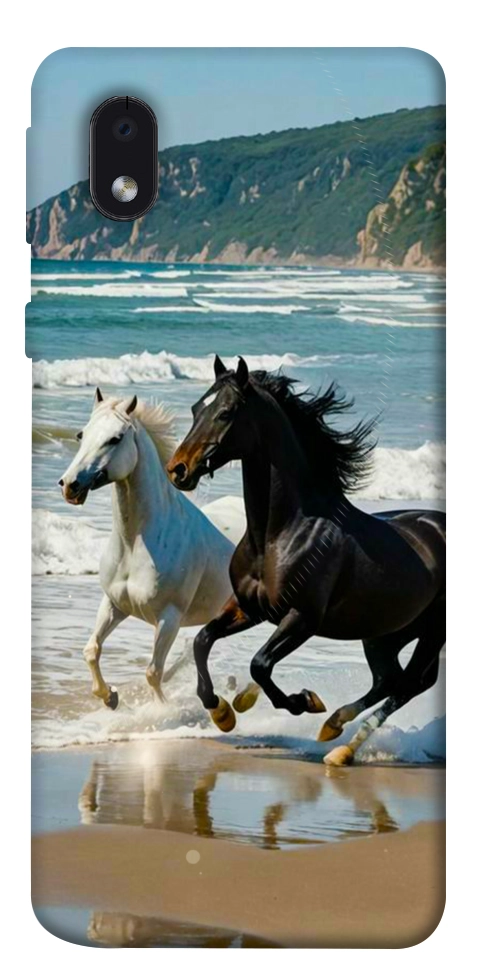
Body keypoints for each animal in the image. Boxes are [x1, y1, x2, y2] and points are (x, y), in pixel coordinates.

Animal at [59, 387, 234, 709]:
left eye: (115, 438)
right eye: (81, 434)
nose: (69, 485)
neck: (135, 544)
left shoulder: (169, 618)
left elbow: (153, 672)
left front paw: (161, 711)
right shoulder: (114, 604)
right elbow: (91, 650)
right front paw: (110, 697)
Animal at [166, 356, 445, 765]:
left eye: (226, 412)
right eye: (195, 409)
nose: (178, 469)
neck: (280, 534)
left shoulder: (302, 618)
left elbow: (260, 664)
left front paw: (303, 701)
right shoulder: (249, 608)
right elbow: (202, 641)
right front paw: (222, 712)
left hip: (431, 633)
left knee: (409, 684)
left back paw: (340, 746)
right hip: (385, 633)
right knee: (389, 680)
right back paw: (334, 729)